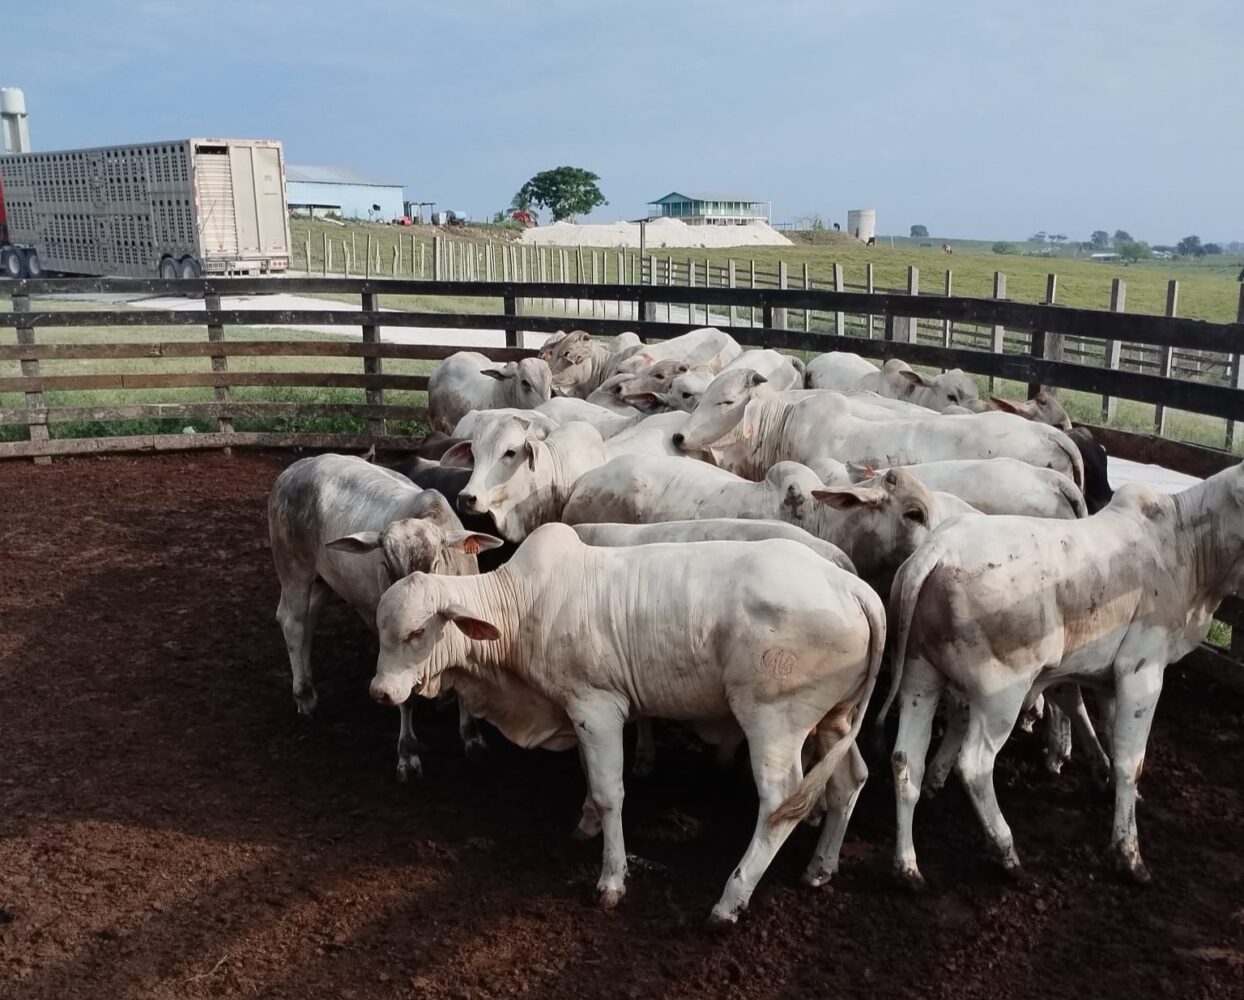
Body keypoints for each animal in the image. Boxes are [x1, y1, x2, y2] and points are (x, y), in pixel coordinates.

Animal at [267, 455, 503, 780]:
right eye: (387, 563)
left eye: (436, 562)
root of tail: (294, 469)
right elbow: (405, 697)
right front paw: (408, 753)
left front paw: (472, 738)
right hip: (293, 567)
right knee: (294, 622)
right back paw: (304, 694)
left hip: (323, 578)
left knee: (309, 619)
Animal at [369, 524, 886, 924]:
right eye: (380, 630)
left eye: (417, 632)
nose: (380, 692)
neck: (520, 607)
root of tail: (851, 586)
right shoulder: (577, 710)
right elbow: (589, 776)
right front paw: (585, 822)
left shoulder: (596, 705)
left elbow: (610, 792)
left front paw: (611, 880)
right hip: (835, 718)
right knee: (850, 780)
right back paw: (820, 867)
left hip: (773, 721)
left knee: (780, 803)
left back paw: (730, 900)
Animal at [880, 464, 1244, 887]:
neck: (1185, 546)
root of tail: (936, 550)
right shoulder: (1142, 671)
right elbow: (1131, 761)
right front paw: (1129, 854)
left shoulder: (1110, 681)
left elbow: (1112, 738)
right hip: (1000, 693)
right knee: (973, 765)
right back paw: (1006, 852)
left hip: (919, 678)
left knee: (905, 760)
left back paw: (907, 866)